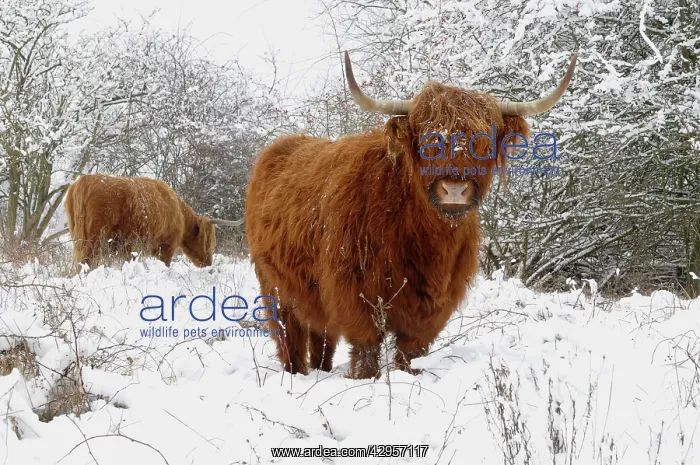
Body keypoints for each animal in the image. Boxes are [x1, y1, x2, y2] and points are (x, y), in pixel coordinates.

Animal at [64, 174, 242, 272]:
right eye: (207, 241)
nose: (208, 263)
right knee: (86, 262)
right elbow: (166, 264)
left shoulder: (128, 247)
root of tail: (85, 180)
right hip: (92, 240)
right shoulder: (166, 245)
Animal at [245, 52, 577, 379]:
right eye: (430, 141)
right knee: (289, 335)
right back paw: (295, 373)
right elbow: (366, 352)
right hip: (275, 288)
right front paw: (365, 378)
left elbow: (409, 353)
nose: (454, 189)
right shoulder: (354, 293)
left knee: (321, 338)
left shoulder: (432, 307)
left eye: (483, 142)